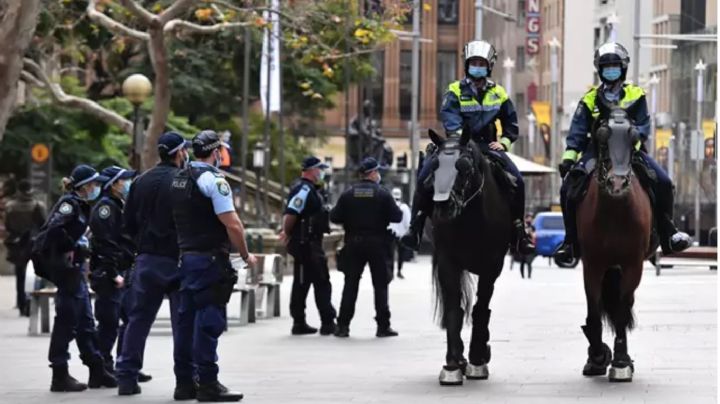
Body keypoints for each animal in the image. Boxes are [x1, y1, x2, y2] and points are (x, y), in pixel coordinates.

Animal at [424, 129, 516, 386]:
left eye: (463, 166)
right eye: (434, 166)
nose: (442, 205)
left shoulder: (492, 266)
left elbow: (480, 309)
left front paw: (477, 358)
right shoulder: (447, 262)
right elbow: (454, 310)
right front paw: (452, 364)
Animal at [576, 106, 656, 382]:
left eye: (634, 137)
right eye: (601, 135)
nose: (618, 183)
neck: (615, 212)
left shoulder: (633, 265)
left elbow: (621, 310)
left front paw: (621, 361)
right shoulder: (592, 265)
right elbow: (593, 311)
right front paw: (598, 356)